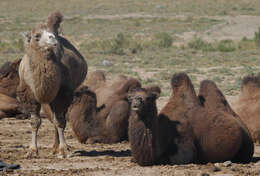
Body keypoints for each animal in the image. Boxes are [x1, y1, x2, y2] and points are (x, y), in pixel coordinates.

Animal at [17, 11, 88, 157]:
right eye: (37, 36)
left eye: (51, 33)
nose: (52, 38)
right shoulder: (30, 95)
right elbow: (35, 121)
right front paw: (32, 151)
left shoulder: (63, 93)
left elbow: (59, 121)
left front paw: (64, 150)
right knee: (52, 118)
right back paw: (54, 147)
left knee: (58, 119)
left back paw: (57, 148)